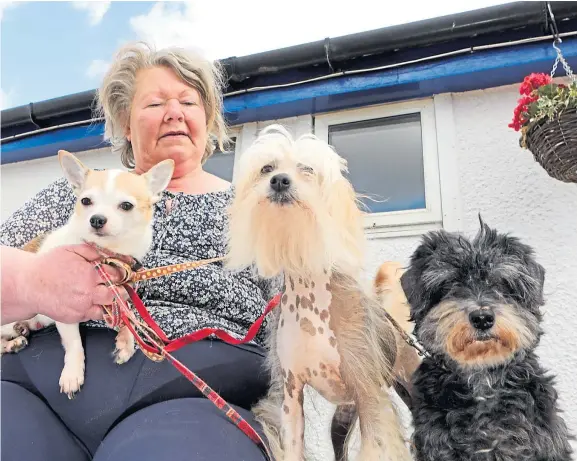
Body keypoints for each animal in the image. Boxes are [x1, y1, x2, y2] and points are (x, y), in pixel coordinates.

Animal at [224, 125, 410, 460]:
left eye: (307, 169)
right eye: (267, 168)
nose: (280, 180)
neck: (308, 292)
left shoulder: (370, 395)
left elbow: (377, 446)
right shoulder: (290, 396)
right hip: (342, 419)